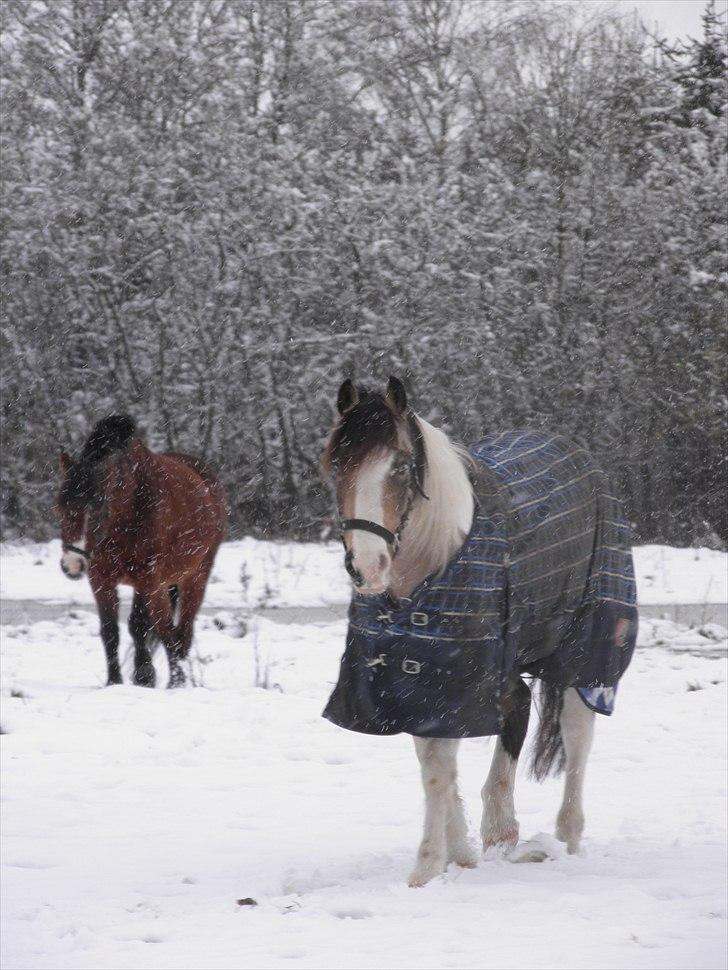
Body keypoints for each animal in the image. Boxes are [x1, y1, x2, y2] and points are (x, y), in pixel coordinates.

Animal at [55, 416, 226, 688]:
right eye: (60, 506)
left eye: (98, 508)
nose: (72, 564)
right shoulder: (100, 579)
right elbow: (110, 630)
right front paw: (114, 681)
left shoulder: (148, 578)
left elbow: (141, 626)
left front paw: (145, 677)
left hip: (195, 577)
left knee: (181, 631)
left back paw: (178, 680)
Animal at [322, 376, 636, 884]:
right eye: (335, 465)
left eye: (402, 466)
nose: (367, 567)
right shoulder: (418, 679)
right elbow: (434, 761)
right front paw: (459, 854)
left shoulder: (459, 677)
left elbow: (437, 769)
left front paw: (426, 869)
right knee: (519, 707)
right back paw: (502, 832)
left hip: (587, 652)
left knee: (577, 735)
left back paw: (565, 839)